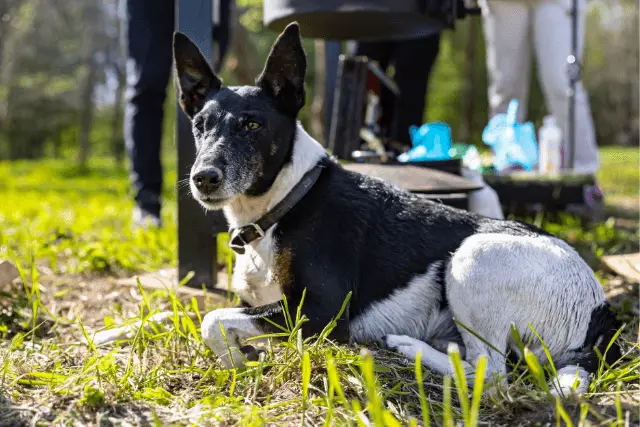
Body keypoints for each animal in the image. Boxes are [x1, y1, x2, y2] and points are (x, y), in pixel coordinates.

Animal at [169, 22, 620, 398]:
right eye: (200, 126)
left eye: (253, 125)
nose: (203, 178)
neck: (287, 200)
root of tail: (599, 311)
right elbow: (207, 315)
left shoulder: (319, 314)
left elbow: (212, 319)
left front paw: (235, 360)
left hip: (473, 256)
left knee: (489, 371)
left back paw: (411, 347)